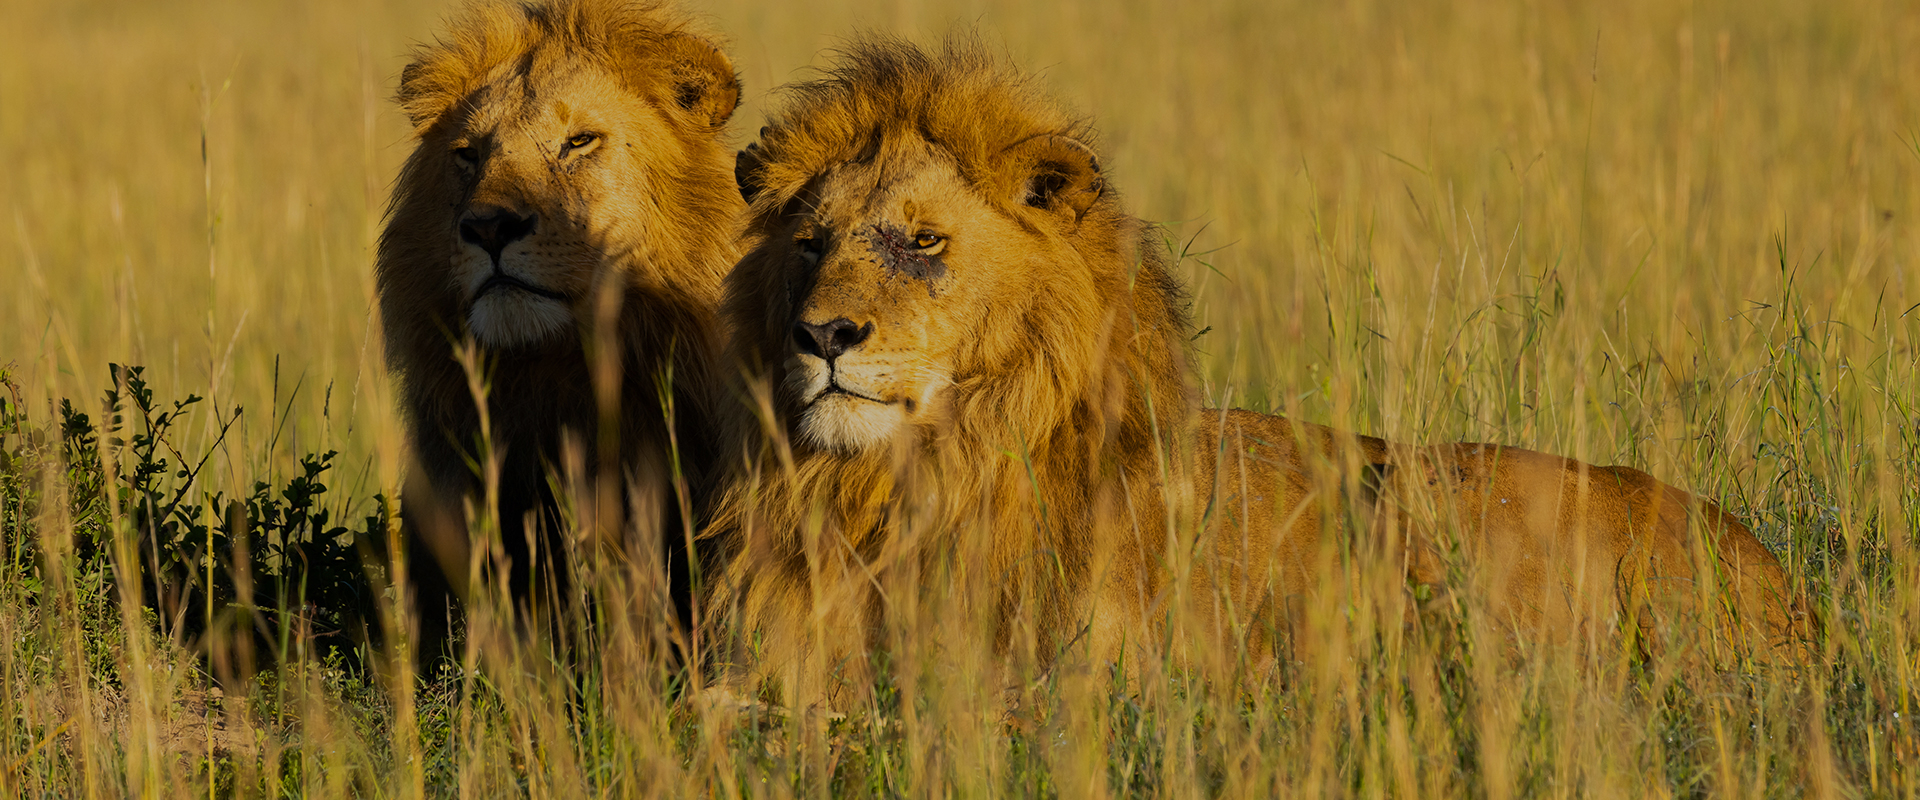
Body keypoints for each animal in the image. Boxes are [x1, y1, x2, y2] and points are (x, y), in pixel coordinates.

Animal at [701, 36, 1802, 705]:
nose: (823, 334)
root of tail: (1772, 569)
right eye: (810, 243)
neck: (894, 487)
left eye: (923, 241)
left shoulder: (1080, 682)